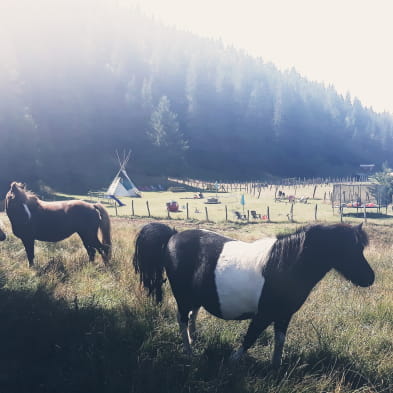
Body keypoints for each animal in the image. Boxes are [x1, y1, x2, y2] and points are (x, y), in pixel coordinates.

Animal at [132, 222, 374, 366]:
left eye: (360, 249)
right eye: (346, 250)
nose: (370, 278)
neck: (283, 264)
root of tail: (172, 236)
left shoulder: (284, 315)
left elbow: (279, 340)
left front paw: (276, 368)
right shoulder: (264, 314)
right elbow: (250, 337)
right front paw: (233, 361)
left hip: (195, 296)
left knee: (192, 314)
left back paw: (194, 338)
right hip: (182, 296)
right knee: (182, 319)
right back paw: (189, 352)